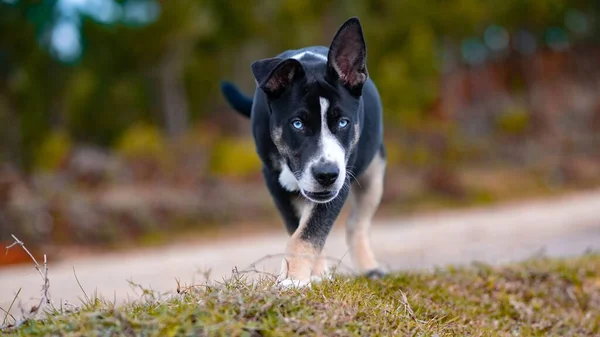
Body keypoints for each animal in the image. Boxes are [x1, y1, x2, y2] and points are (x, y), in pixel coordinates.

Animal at [219, 17, 384, 286]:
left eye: (343, 122)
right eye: (297, 124)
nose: (326, 175)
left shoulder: (341, 181)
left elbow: (309, 232)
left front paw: (295, 280)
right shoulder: (274, 181)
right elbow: (299, 229)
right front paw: (307, 276)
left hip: (374, 171)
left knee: (357, 223)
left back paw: (369, 267)